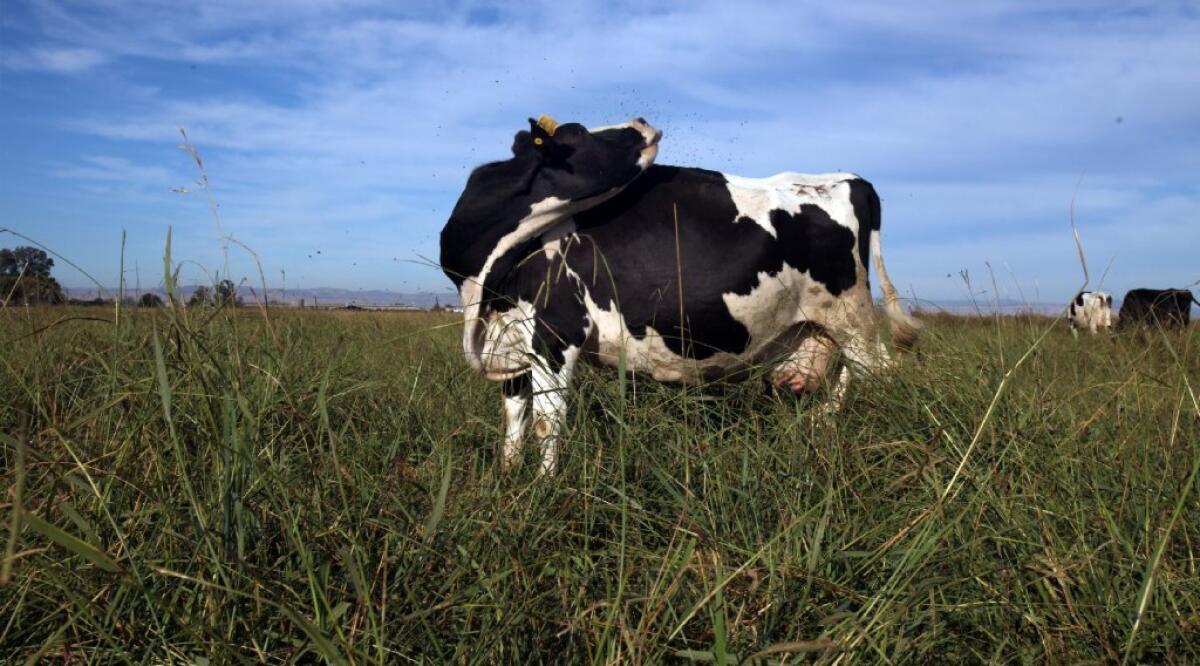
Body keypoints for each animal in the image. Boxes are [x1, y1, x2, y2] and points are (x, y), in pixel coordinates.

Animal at [441, 117, 916, 477]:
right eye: (577, 133)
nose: (641, 120)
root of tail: (849, 179)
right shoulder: (513, 341)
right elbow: (514, 418)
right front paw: (507, 479)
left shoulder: (557, 333)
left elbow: (545, 422)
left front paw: (543, 489)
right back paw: (823, 425)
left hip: (851, 314)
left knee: (882, 373)